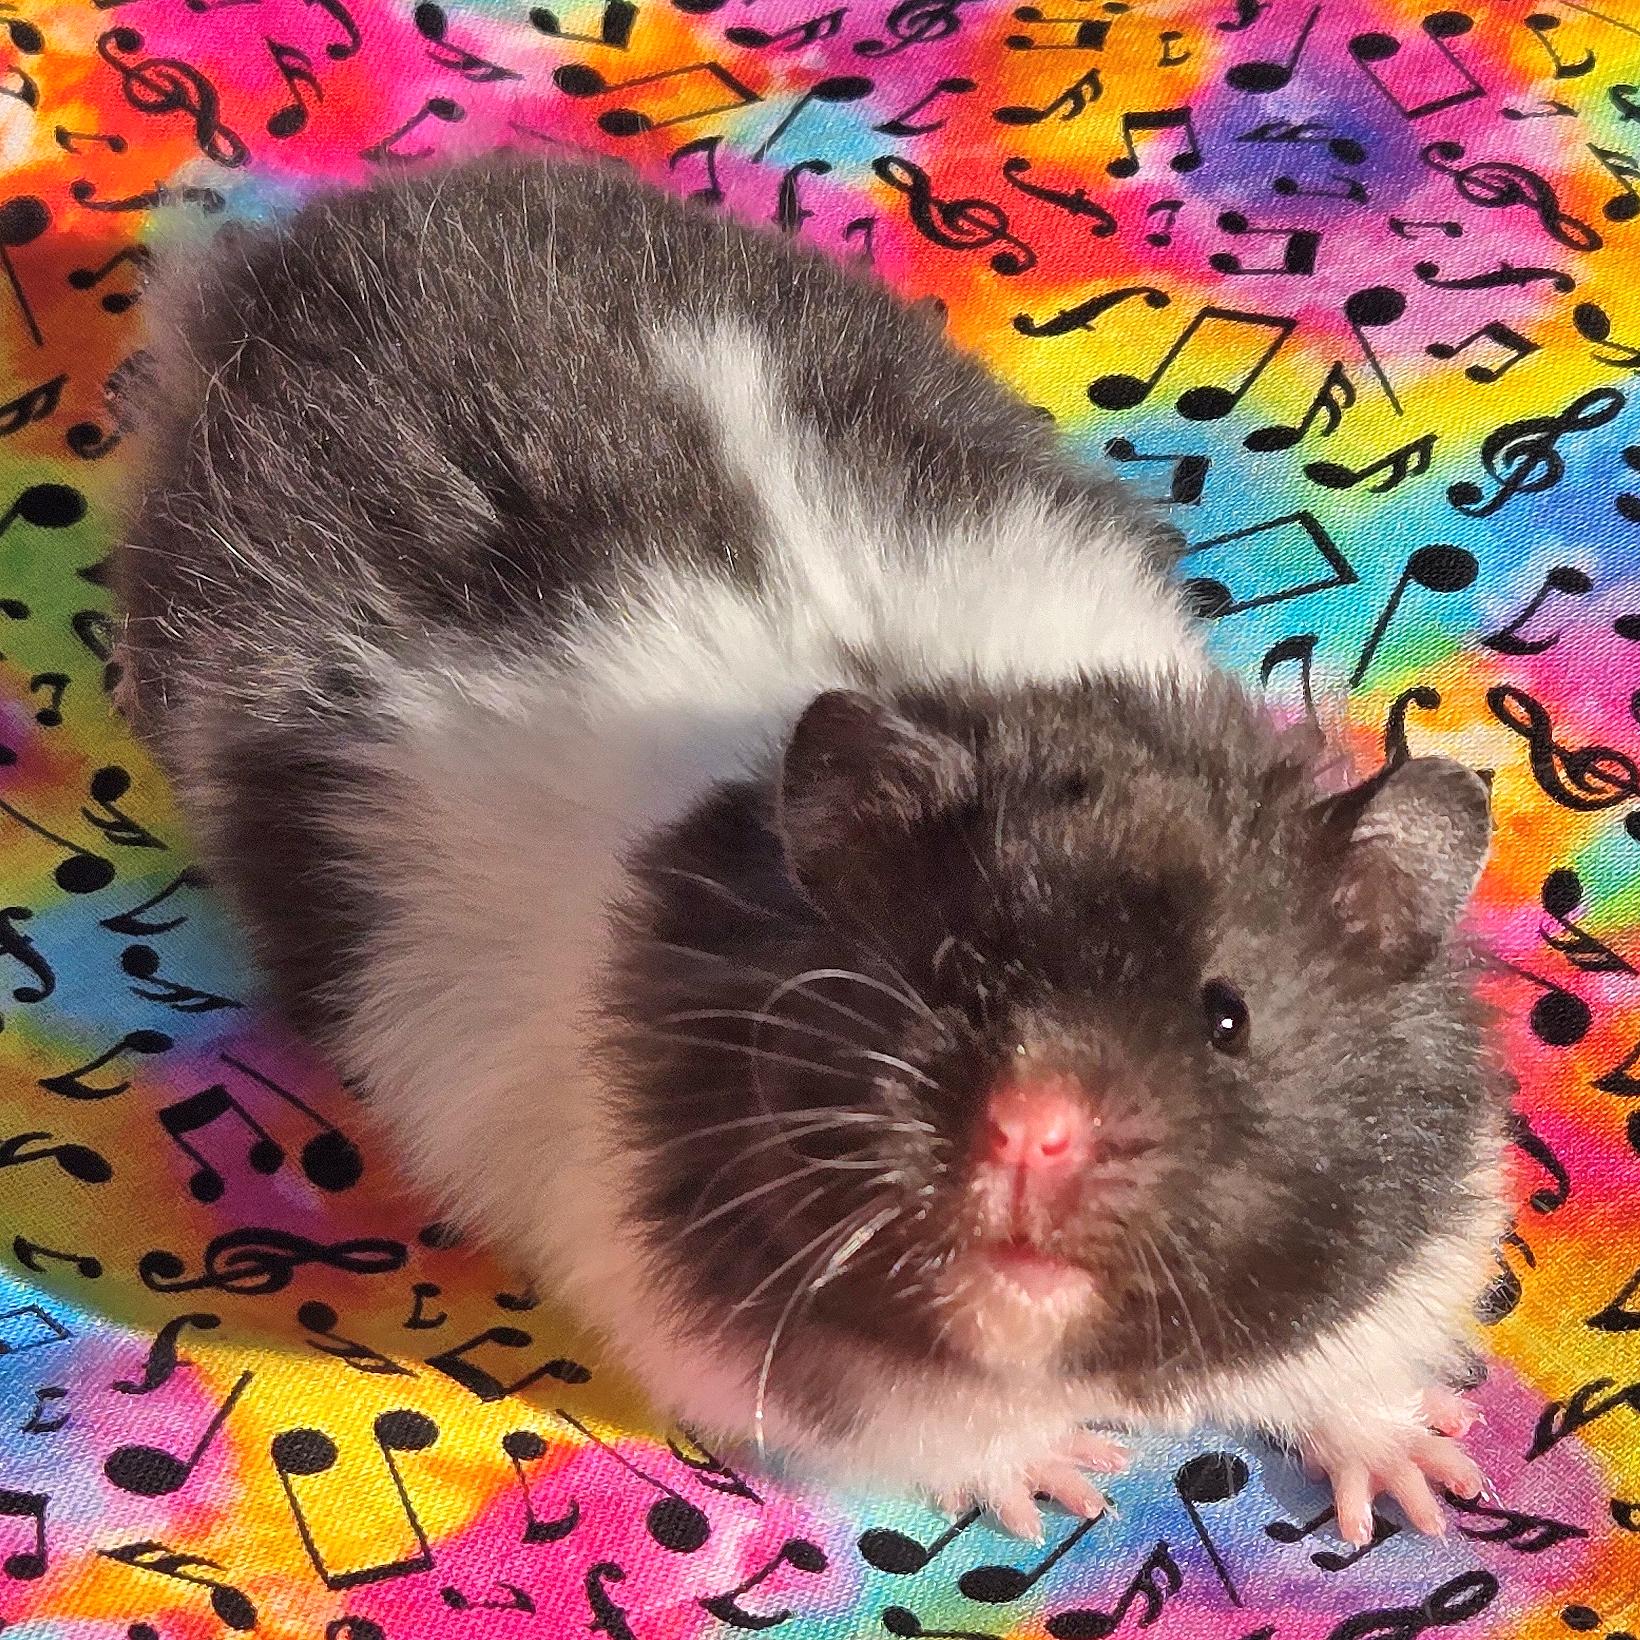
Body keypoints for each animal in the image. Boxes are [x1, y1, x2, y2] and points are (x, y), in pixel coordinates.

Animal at [116, 154, 1506, 1546]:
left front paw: (1428, 1490)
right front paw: (1064, 1484)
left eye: (1226, 1014)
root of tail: (277, 260)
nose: (1031, 1134)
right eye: (949, 976)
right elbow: (949, 1432)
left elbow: (1351, 1359)